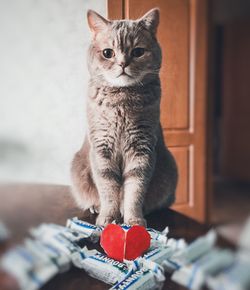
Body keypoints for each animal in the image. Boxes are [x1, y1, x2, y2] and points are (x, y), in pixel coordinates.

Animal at [70, 7, 178, 227]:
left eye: (138, 52)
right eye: (107, 53)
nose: (122, 64)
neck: (122, 100)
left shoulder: (142, 149)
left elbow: (135, 190)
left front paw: (134, 220)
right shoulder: (101, 149)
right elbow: (108, 188)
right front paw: (108, 218)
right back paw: (95, 207)